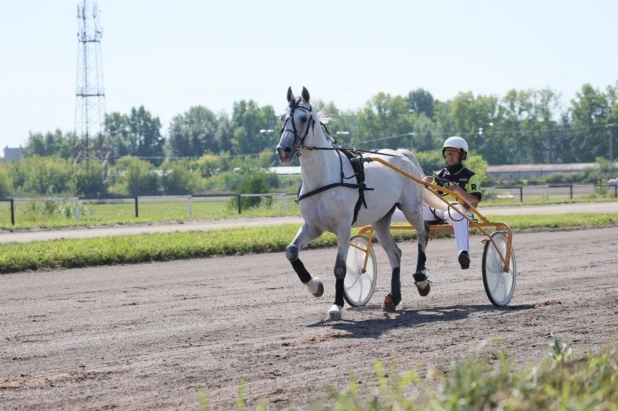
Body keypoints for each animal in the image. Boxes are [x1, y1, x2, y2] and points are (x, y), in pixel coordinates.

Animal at [274, 86, 442, 322]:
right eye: (282, 117)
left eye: (304, 118)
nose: (284, 150)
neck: (323, 177)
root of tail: (401, 154)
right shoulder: (313, 226)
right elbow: (291, 252)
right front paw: (315, 286)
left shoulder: (343, 227)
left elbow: (340, 268)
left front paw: (337, 306)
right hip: (381, 220)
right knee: (395, 254)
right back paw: (393, 298)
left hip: (412, 208)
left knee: (423, 233)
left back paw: (421, 280)